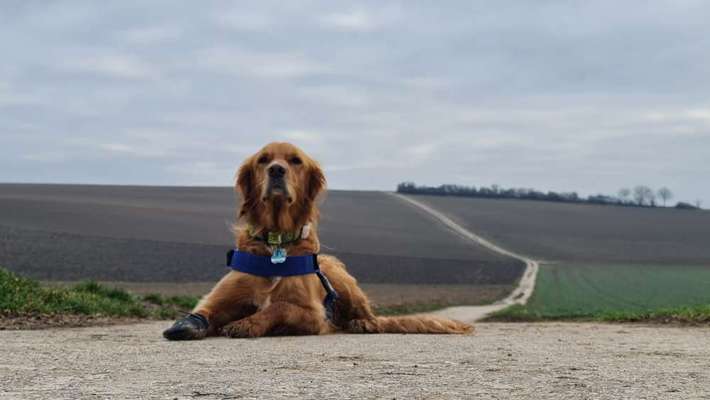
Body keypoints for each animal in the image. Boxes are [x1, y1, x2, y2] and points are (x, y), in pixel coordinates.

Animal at [165, 142, 476, 340]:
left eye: (295, 161)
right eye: (263, 160)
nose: (276, 170)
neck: (276, 242)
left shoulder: (315, 315)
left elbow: (279, 306)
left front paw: (248, 323)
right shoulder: (220, 297)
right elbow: (204, 311)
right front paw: (190, 324)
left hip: (340, 277)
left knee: (372, 318)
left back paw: (362, 323)